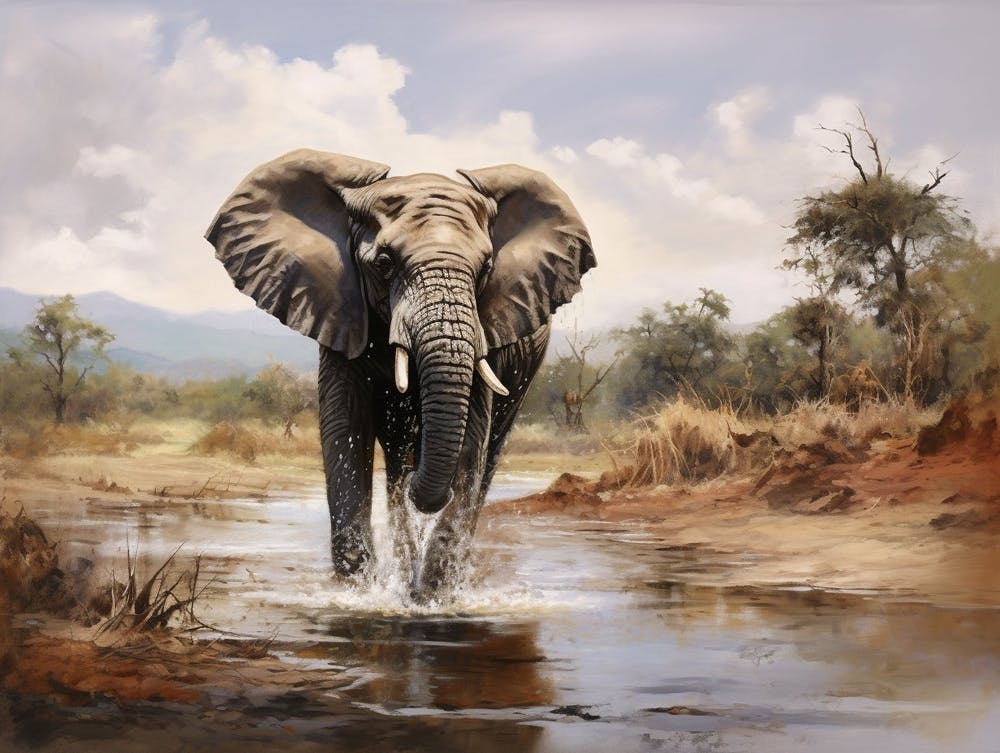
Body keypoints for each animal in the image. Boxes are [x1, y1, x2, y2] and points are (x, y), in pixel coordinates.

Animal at [205, 149, 595, 597]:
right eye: (385, 264)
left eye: (486, 268)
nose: (420, 491)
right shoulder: (340, 312)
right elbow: (345, 428)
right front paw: (360, 592)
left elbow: (470, 443)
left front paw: (431, 600)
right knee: (395, 457)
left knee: (487, 454)